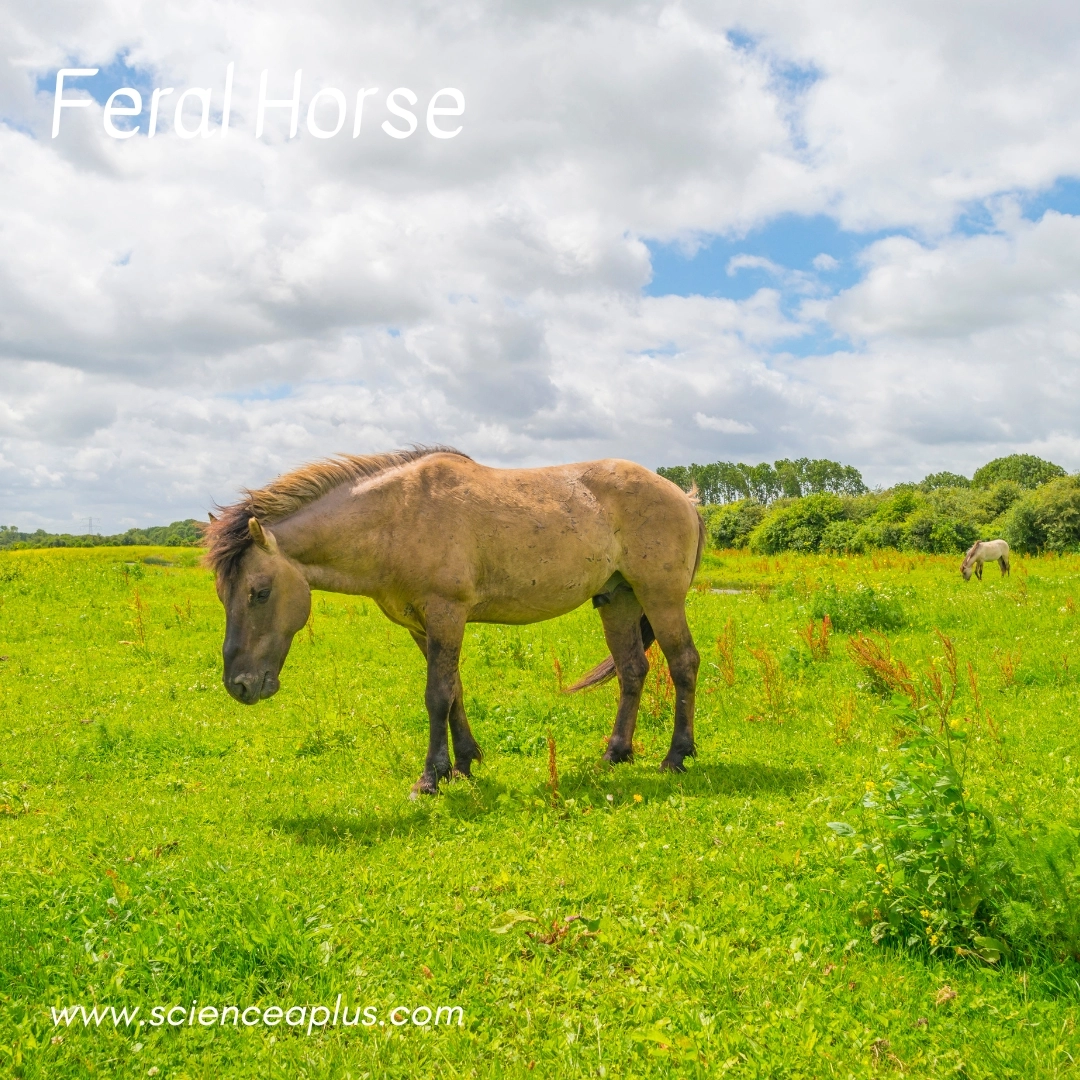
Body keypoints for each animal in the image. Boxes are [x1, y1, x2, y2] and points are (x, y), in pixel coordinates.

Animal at [203, 448, 705, 795]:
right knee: (633, 671)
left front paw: (430, 778)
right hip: (618, 601)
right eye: (223, 595)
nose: (240, 686)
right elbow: (455, 690)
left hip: (660, 598)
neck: (398, 518)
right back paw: (614, 755)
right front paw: (462, 764)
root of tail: (682, 495)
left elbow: (437, 695)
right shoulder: (423, 626)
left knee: (684, 664)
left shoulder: (446, 612)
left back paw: (676, 757)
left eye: (259, 591)